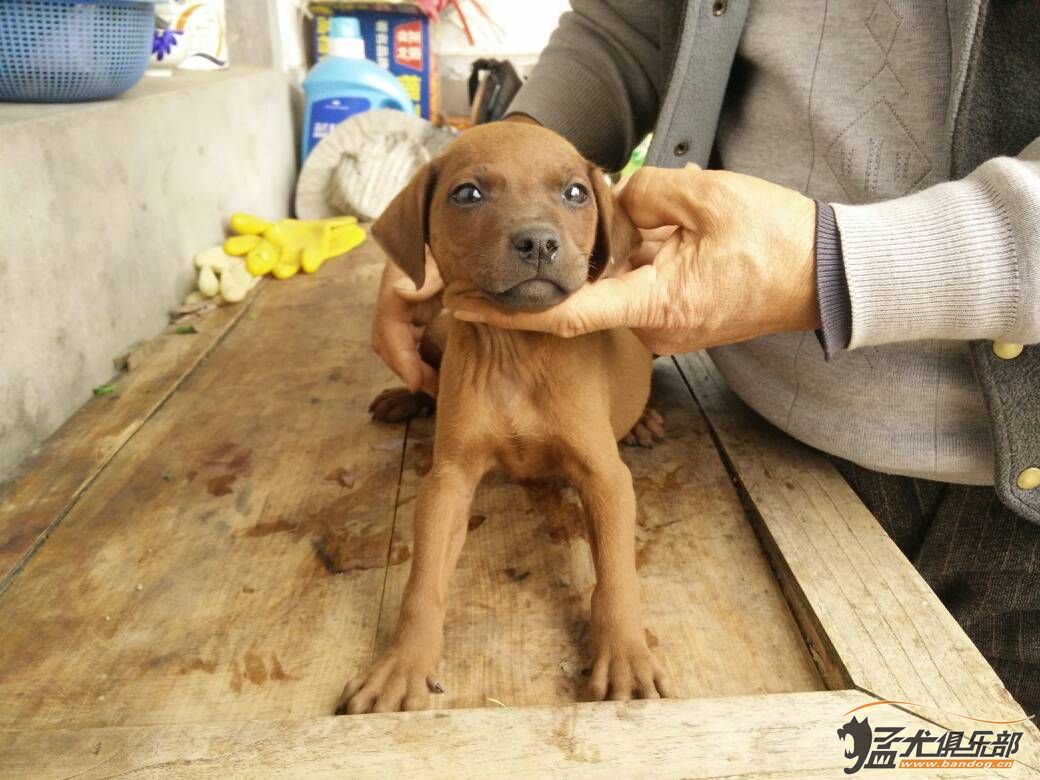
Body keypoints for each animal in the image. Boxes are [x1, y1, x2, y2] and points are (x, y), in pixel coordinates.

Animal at [336, 122, 669, 715]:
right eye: (468, 193)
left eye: (575, 193)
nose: (538, 242)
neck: (517, 351)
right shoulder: (447, 481)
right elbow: (423, 585)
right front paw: (401, 666)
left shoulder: (604, 476)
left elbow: (615, 575)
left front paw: (626, 655)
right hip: (438, 327)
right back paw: (407, 396)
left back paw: (645, 420)